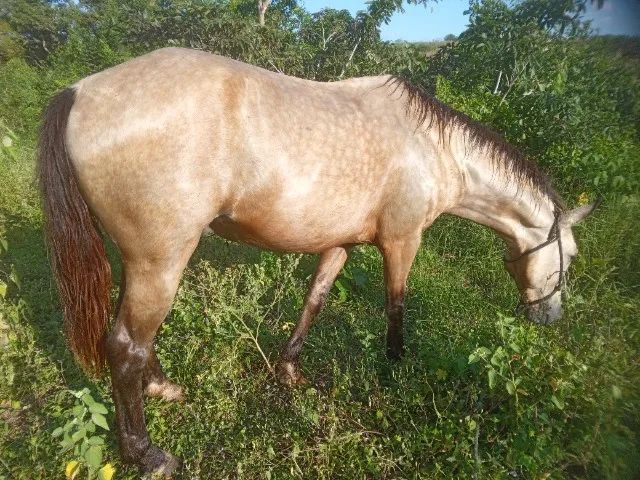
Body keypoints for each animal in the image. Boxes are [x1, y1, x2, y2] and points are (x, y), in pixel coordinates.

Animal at [37, 47, 598, 476]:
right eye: (569, 257)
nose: (550, 316)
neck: (434, 150)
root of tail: (80, 91)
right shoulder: (402, 241)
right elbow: (396, 305)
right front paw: (396, 368)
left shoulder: (339, 244)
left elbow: (315, 300)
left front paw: (289, 370)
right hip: (161, 260)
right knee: (125, 346)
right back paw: (147, 454)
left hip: (144, 262)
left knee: (135, 338)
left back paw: (161, 386)